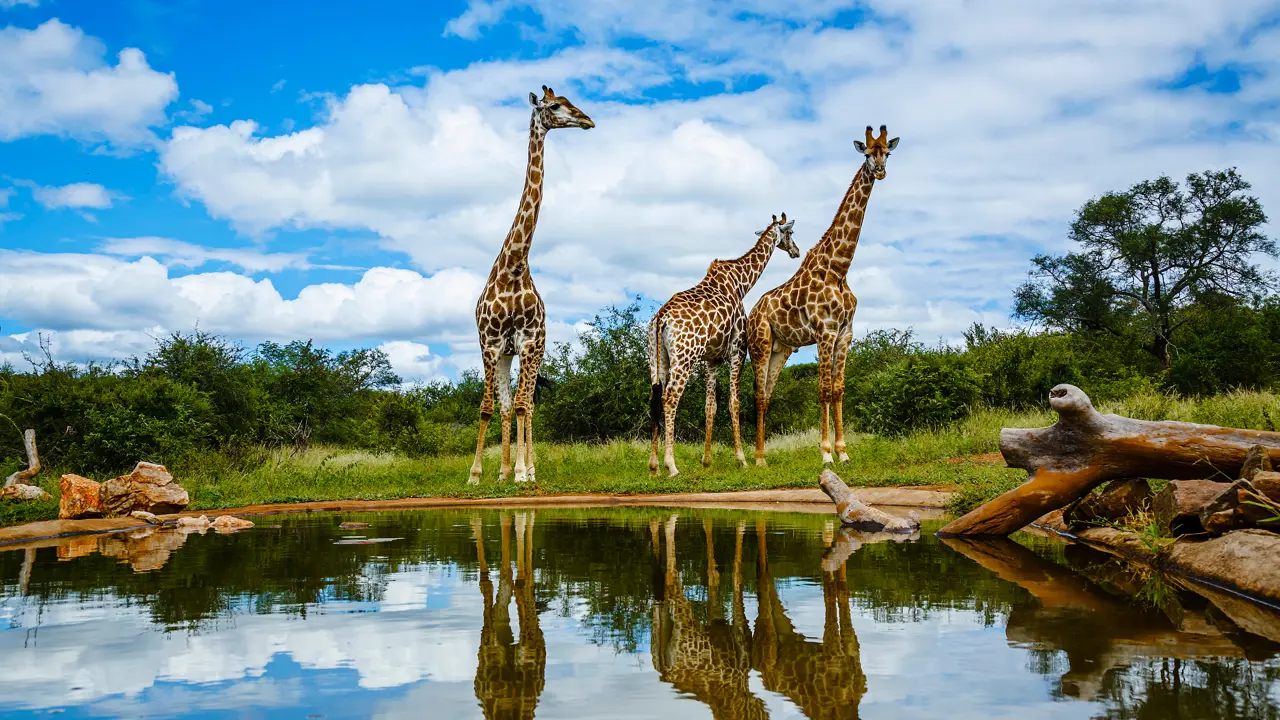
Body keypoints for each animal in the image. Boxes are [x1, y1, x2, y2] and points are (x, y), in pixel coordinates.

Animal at [468, 86, 595, 485]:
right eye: (555, 106)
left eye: (569, 103)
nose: (587, 119)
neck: (513, 266)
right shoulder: (491, 343)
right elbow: (489, 406)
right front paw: (478, 474)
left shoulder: (526, 341)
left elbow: (525, 405)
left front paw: (524, 471)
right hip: (507, 354)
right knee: (509, 405)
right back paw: (503, 470)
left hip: (534, 350)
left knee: (529, 404)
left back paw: (526, 468)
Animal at [648, 215, 800, 477]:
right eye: (790, 233)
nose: (796, 251)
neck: (741, 283)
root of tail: (661, 319)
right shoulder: (738, 350)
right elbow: (733, 403)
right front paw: (742, 459)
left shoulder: (711, 359)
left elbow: (711, 407)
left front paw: (706, 461)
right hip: (685, 358)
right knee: (670, 398)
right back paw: (671, 465)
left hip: (657, 359)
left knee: (655, 398)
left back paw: (654, 465)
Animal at [650, 514, 768, 720]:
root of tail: (666, 671)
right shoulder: (740, 638)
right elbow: (736, 572)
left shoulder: (716, 620)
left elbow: (713, 573)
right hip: (687, 627)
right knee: (671, 575)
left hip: (658, 626)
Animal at [747, 126, 899, 466]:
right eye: (867, 153)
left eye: (887, 152)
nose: (880, 171)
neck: (839, 268)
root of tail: (751, 313)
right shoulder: (824, 332)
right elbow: (823, 389)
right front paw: (826, 453)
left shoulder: (845, 333)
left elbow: (839, 389)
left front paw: (843, 452)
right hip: (759, 345)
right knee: (758, 394)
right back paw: (758, 459)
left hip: (781, 349)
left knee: (768, 394)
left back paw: (763, 455)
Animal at [752, 520, 867, 719]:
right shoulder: (832, 654)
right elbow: (829, 593)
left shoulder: (850, 646)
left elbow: (843, 590)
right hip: (767, 645)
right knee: (763, 578)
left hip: (781, 621)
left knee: (766, 571)